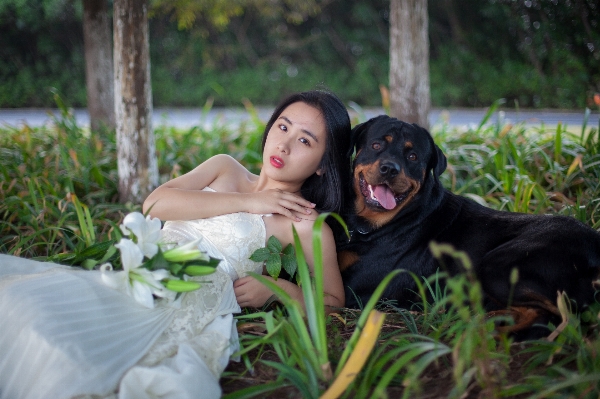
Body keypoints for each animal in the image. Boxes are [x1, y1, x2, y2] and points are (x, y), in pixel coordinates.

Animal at [338, 114, 600, 336]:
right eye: (376, 145)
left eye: (412, 157)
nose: (390, 168)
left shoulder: (354, 289)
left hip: (499, 265)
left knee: (560, 316)